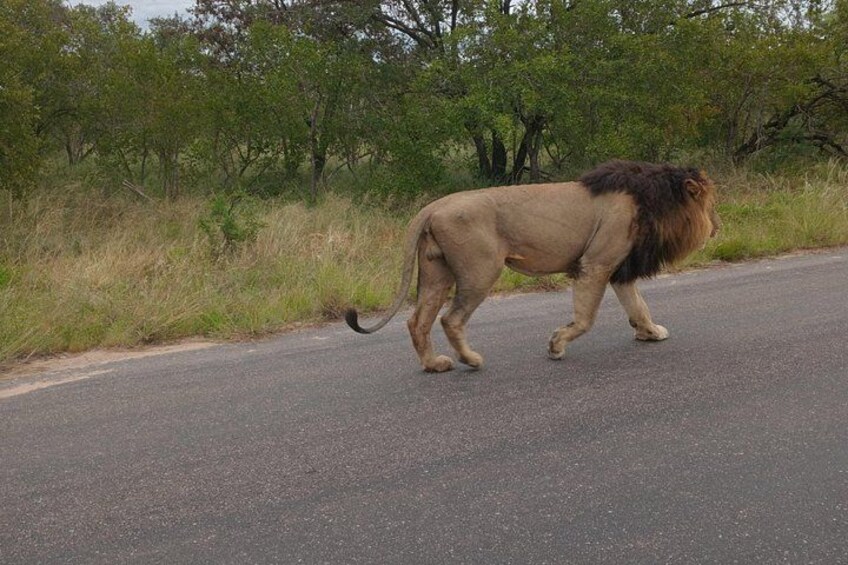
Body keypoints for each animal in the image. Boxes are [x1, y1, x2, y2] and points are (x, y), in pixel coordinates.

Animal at [345, 160, 720, 372]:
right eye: (709, 205)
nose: (717, 227)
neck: (650, 199)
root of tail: (433, 206)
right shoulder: (596, 263)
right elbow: (586, 318)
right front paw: (556, 345)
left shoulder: (618, 267)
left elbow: (638, 306)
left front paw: (650, 332)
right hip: (480, 271)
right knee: (450, 319)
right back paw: (471, 360)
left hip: (437, 273)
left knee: (417, 321)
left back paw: (434, 365)